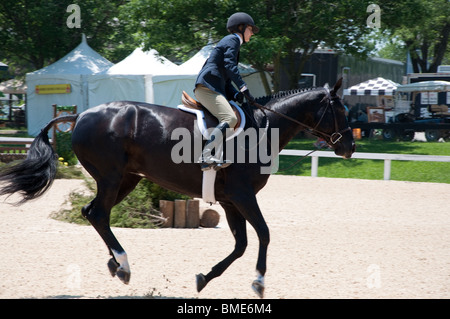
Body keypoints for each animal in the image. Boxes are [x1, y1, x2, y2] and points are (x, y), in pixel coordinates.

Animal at [0, 79, 354, 298]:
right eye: (341, 111)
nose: (350, 147)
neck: (262, 129)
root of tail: (81, 114)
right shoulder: (242, 196)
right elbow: (264, 234)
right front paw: (258, 283)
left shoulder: (230, 200)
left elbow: (240, 244)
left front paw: (204, 278)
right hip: (111, 177)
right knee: (99, 214)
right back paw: (124, 265)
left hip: (126, 178)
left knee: (92, 213)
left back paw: (115, 264)